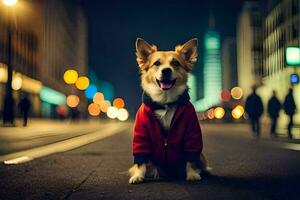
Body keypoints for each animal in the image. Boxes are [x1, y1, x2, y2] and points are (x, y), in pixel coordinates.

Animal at [129, 38, 209, 184]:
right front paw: (138, 175)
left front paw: (192, 174)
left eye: (176, 63)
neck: (165, 101)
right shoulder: (141, 132)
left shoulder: (191, 131)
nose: (166, 70)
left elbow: (190, 158)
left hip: (201, 156)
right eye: (157, 63)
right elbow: (141, 159)